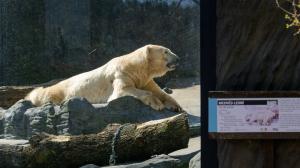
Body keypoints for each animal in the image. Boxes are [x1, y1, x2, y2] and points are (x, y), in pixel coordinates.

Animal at [25, 44, 183, 111]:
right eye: (166, 51)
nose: (178, 58)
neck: (137, 67)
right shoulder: (121, 74)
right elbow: (123, 90)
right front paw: (157, 104)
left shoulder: (145, 79)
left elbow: (158, 91)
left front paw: (176, 106)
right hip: (59, 89)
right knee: (45, 94)